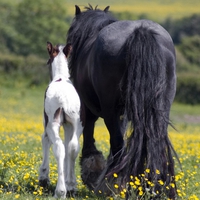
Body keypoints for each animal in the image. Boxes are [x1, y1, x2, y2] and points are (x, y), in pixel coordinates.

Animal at [38, 42, 82, 198]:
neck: (60, 77)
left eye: (47, 61)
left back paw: (60, 191)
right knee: (72, 147)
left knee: (58, 147)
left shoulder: (47, 123)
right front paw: (70, 184)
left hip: (52, 124)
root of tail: (62, 97)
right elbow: (70, 146)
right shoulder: (68, 125)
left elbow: (45, 139)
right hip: (77, 123)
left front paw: (43, 178)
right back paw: (70, 186)